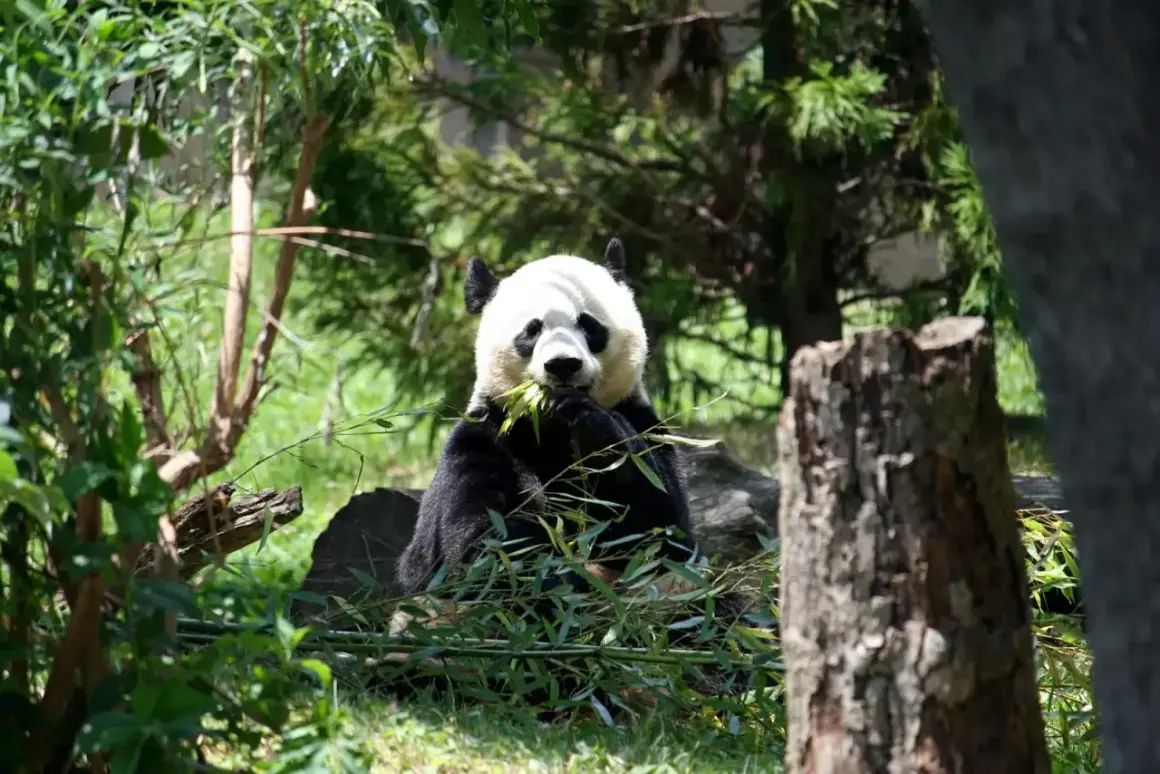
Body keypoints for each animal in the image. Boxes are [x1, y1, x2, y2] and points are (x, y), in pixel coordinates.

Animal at [395, 237, 698, 599]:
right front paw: (559, 577)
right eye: (532, 330)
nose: (563, 364)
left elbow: (663, 532)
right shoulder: (488, 436)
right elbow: (484, 542)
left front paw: (595, 428)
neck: (551, 427)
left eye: (588, 325)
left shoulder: (644, 424)